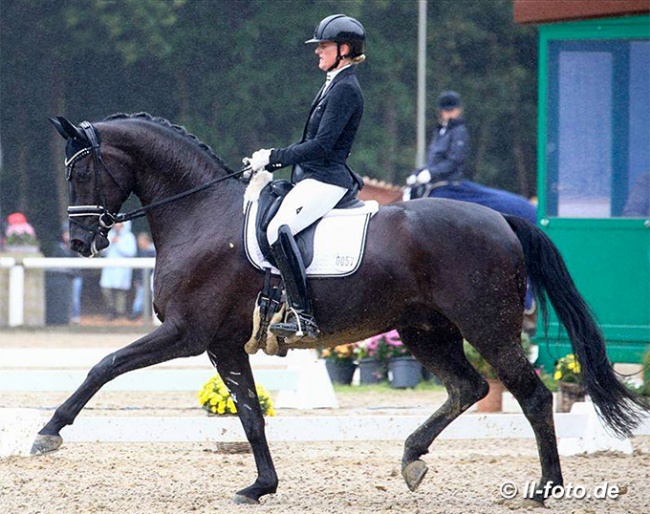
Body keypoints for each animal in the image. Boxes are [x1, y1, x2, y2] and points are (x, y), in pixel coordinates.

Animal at [35, 113, 644, 504]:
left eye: (80, 172)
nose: (79, 242)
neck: (200, 214)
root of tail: (501, 219)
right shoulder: (224, 343)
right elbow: (250, 414)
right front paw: (261, 486)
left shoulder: (190, 333)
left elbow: (104, 366)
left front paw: (49, 432)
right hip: (425, 330)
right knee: (467, 387)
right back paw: (413, 458)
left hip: (486, 325)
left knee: (531, 394)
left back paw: (547, 487)